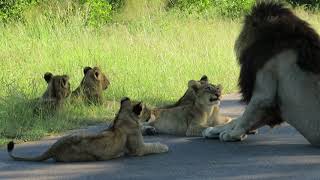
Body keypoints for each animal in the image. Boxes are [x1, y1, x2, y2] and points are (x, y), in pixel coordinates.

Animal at [7, 97, 169, 162]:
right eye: (147, 110)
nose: (152, 113)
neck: (123, 116)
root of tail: (54, 147)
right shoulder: (138, 149)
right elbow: (153, 146)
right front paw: (164, 146)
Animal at [202, 0, 320, 146]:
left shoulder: (266, 86)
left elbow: (249, 113)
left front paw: (232, 134)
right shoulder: (274, 110)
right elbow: (237, 119)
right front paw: (215, 130)